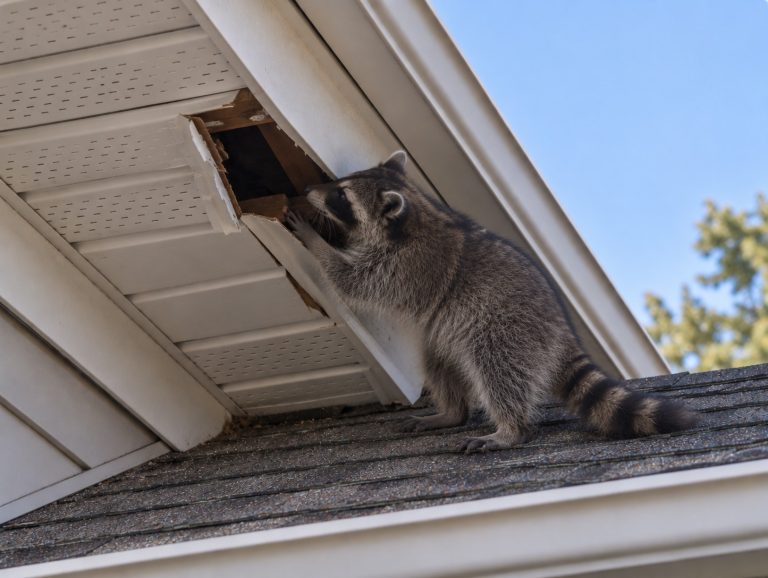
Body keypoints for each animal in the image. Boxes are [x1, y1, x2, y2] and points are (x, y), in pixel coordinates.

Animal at [287, 151, 696, 452]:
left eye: (341, 196)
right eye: (338, 184)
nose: (307, 188)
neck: (415, 214)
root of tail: (561, 327)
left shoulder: (407, 265)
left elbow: (354, 280)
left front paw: (314, 242)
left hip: (505, 329)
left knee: (498, 372)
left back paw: (510, 429)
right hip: (449, 333)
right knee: (438, 364)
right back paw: (452, 412)